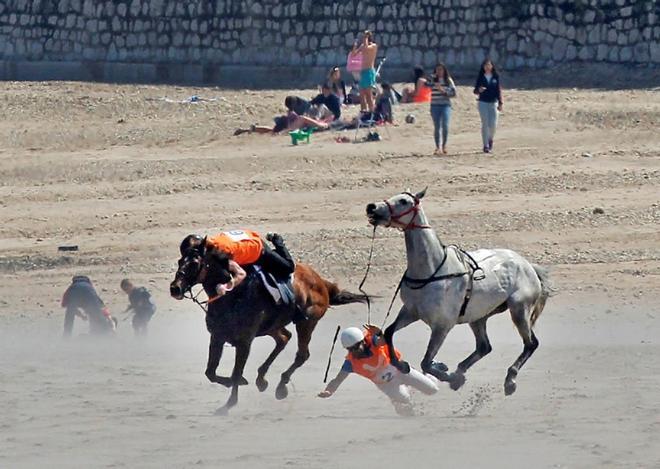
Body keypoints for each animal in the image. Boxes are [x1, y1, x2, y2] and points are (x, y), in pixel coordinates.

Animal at [170, 247, 366, 412]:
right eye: (180, 261)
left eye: (195, 263)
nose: (175, 288)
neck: (231, 296)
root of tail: (321, 282)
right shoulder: (217, 337)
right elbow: (210, 372)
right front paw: (236, 384)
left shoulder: (245, 342)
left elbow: (236, 373)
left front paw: (230, 403)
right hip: (273, 325)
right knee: (284, 338)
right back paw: (261, 379)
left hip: (307, 322)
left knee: (301, 354)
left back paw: (281, 386)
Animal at [364, 188, 556, 394]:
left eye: (403, 201)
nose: (372, 207)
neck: (431, 271)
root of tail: (527, 265)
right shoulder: (410, 311)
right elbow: (389, 332)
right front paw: (403, 365)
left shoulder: (442, 326)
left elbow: (426, 362)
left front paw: (446, 374)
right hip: (479, 317)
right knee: (484, 347)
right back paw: (461, 371)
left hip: (519, 309)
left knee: (530, 343)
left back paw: (509, 379)